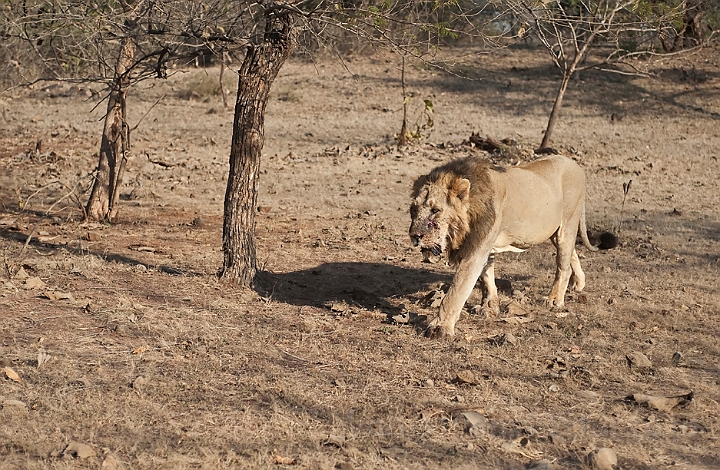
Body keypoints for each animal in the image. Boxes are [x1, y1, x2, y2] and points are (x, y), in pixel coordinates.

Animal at [410, 156, 600, 340]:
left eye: (435, 210)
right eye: (413, 209)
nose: (414, 236)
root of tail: (574, 163)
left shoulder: (476, 249)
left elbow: (456, 291)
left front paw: (440, 327)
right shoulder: (484, 245)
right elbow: (486, 277)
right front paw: (489, 307)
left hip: (567, 226)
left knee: (563, 267)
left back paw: (554, 300)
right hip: (555, 232)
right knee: (572, 255)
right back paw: (579, 283)